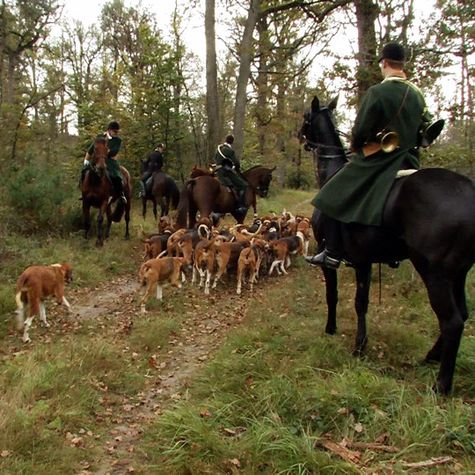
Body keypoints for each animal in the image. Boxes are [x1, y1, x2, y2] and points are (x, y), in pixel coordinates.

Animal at [302, 96, 475, 394]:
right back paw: (431, 357)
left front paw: (339, 334)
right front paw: (359, 344)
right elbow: (363, 302)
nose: (301, 138)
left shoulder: (343, 261)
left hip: (435, 272)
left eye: (305, 118)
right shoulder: (366, 262)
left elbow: (338, 297)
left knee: (452, 321)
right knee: (462, 315)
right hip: (458, 273)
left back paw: (441, 384)